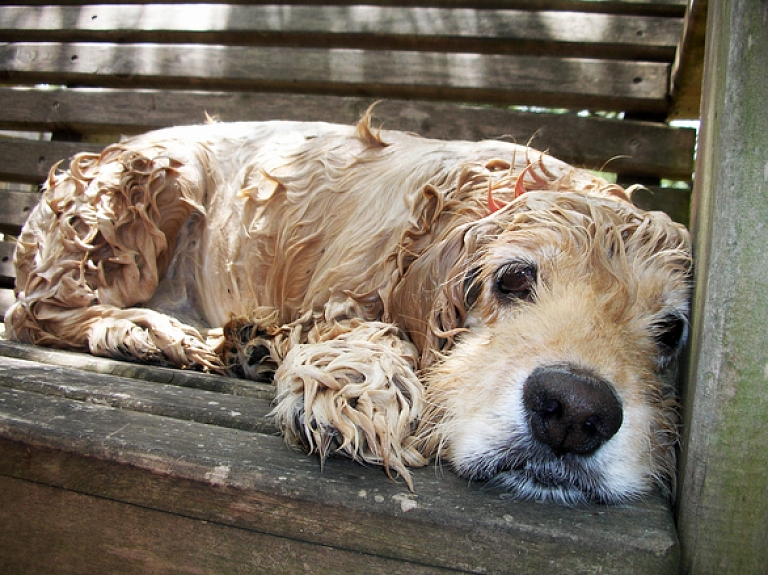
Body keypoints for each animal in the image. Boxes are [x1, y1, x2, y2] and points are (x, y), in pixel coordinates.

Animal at [4, 112, 688, 504]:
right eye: (514, 278)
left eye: (671, 331)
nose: (574, 412)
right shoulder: (346, 286)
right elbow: (352, 328)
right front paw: (363, 391)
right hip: (146, 182)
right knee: (39, 313)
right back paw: (148, 331)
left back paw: (247, 342)